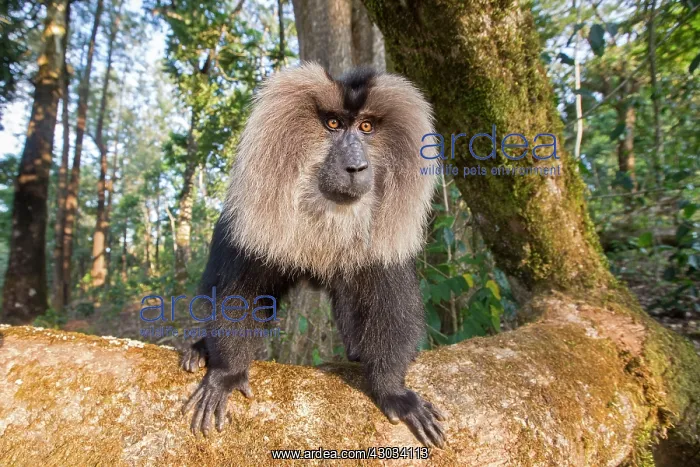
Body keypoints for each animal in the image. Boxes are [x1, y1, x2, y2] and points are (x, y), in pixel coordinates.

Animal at [180, 63, 445, 447]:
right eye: (333, 123)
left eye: (366, 127)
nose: (356, 166)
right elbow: (239, 295)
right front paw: (226, 373)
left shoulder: (383, 246)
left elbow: (391, 307)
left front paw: (393, 391)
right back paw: (199, 350)